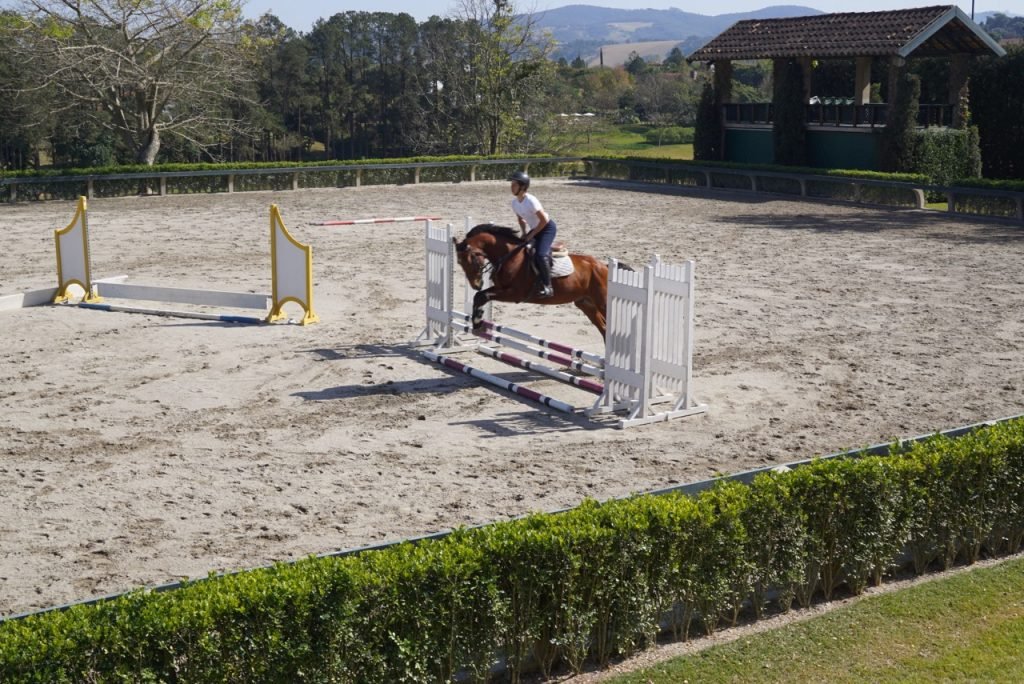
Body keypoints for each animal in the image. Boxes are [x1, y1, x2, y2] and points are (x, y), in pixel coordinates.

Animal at [448, 224, 606, 339]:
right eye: (459, 262)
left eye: (471, 260)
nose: (476, 285)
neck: (510, 256)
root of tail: (603, 266)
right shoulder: (499, 288)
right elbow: (479, 296)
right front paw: (478, 319)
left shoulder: (515, 294)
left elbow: (482, 296)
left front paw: (477, 320)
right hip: (585, 303)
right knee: (603, 328)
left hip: (601, 302)